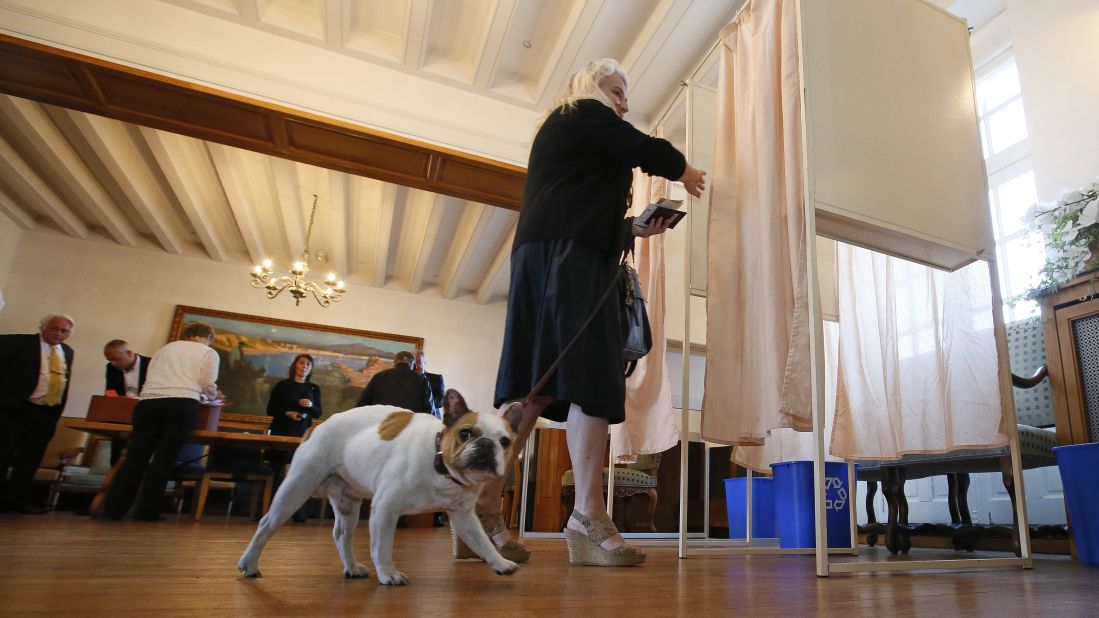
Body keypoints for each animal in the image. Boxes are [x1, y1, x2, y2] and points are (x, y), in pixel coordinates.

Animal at [238, 393, 520, 580]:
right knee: (265, 525)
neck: (439, 462)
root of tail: (317, 428)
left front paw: (500, 562)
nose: (486, 444)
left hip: (348, 504)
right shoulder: (386, 508)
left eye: (505, 442)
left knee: (341, 536)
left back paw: (352, 568)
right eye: (465, 433)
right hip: (296, 488)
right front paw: (388, 573)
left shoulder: (464, 517)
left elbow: (482, 541)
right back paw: (249, 564)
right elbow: (382, 546)